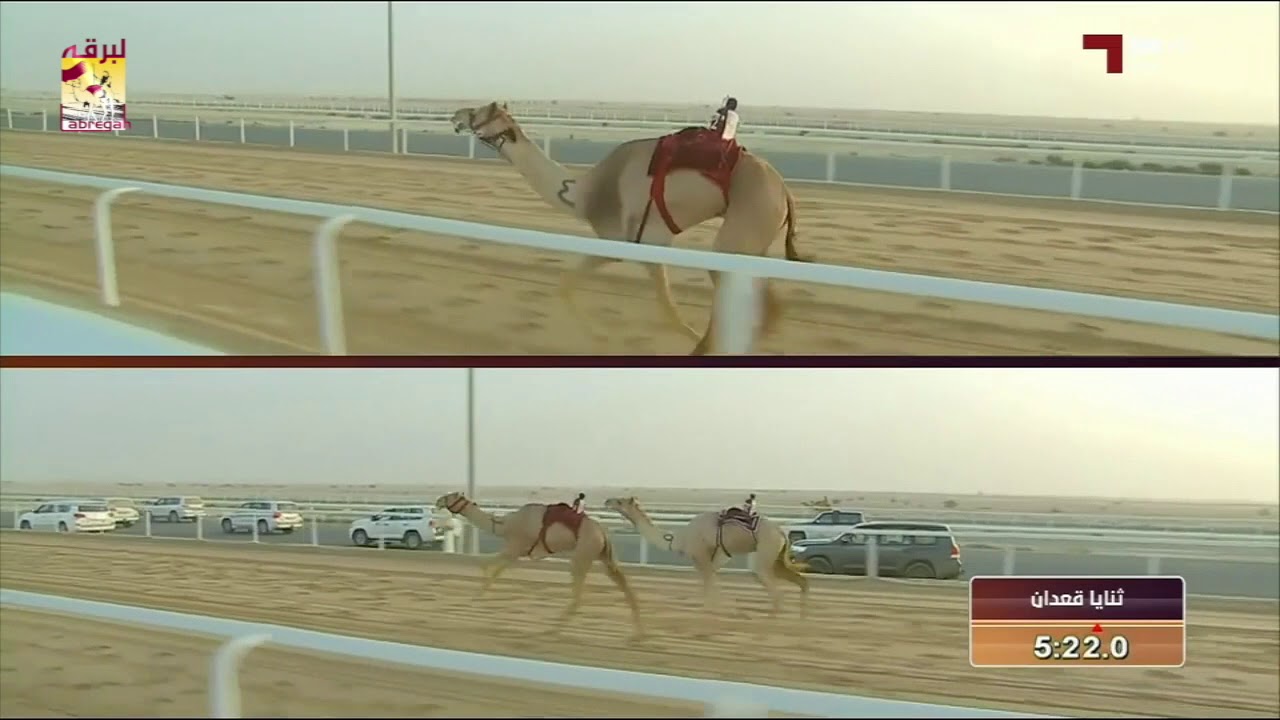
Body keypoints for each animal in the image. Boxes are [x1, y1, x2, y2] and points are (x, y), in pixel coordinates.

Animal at [434, 492, 644, 637]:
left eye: (451, 496)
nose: (438, 501)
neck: (504, 525)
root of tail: (603, 533)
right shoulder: (517, 552)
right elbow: (497, 570)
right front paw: (479, 595)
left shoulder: (516, 546)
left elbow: (487, 564)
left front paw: (475, 595)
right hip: (603, 555)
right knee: (623, 583)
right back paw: (638, 632)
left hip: (582, 554)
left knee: (579, 595)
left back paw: (553, 629)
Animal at [450, 101, 813, 355]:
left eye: (479, 111)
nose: (455, 114)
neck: (583, 194)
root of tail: (785, 190)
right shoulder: (648, 246)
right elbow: (662, 307)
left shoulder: (623, 242)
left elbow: (573, 286)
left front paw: (601, 337)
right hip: (756, 238)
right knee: (767, 305)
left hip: (744, 226)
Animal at [603, 496, 808, 618]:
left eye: (620, 501)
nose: (607, 501)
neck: (680, 539)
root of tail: (781, 532)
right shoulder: (711, 560)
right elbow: (709, 583)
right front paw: (714, 609)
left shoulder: (701, 556)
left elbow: (708, 584)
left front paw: (710, 611)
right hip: (777, 558)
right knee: (800, 581)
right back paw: (801, 618)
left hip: (766, 550)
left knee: (773, 588)